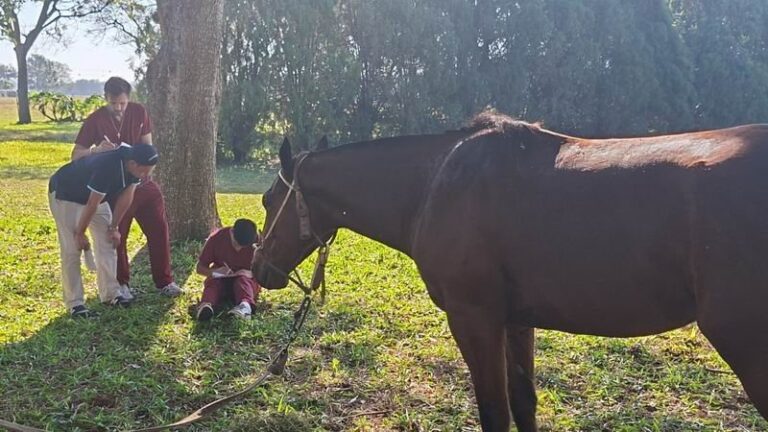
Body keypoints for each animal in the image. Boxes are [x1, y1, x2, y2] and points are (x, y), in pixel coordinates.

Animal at [251, 112, 768, 432]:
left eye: (268, 199)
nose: (260, 269)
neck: (435, 183)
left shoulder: (474, 318)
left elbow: (494, 412)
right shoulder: (517, 321)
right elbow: (523, 403)